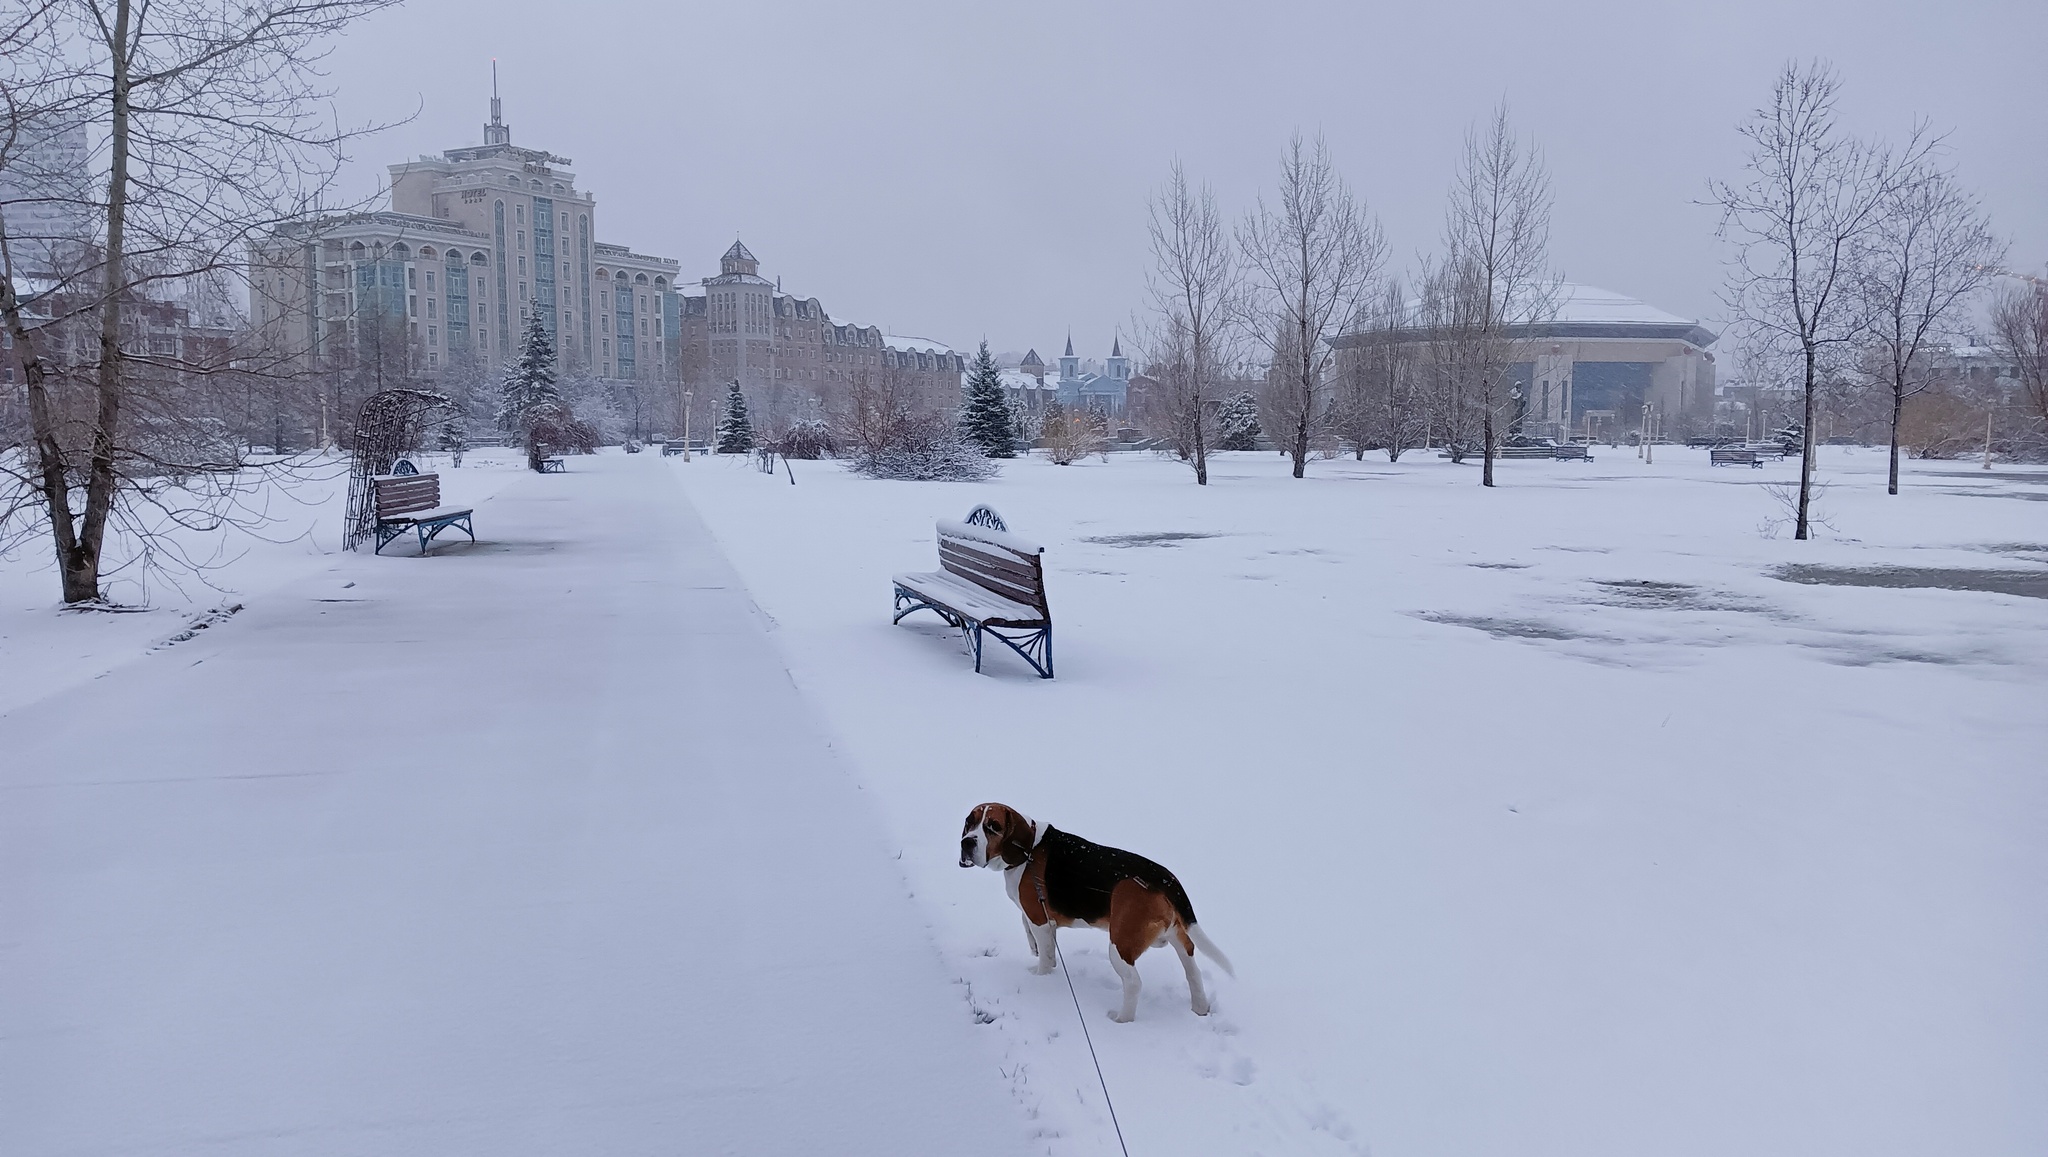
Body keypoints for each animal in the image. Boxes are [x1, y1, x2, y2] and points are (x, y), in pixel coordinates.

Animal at [958, 802, 1228, 1019]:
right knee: (1192, 967)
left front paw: (1041, 978)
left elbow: (1044, 954)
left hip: (1120, 944)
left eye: (993, 826)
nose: (966, 842)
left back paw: (1121, 1020)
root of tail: (1164, 878)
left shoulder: (1039, 920)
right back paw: (1200, 1008)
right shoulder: (1038, 919)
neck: (1028, 850)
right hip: (1178, 935)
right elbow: (1036, 938)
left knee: (1133, 983)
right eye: (970, 822)